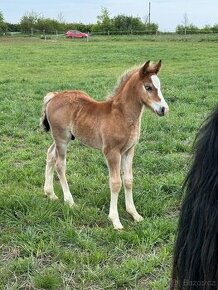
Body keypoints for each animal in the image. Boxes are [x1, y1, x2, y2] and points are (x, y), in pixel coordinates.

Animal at [40, 60, 169, 229]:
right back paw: (70, 201)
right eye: (148, 87)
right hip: (61, 138)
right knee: (60, 164)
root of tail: (54, 96)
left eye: (159, 86)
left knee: (50, 154)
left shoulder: (129, 150)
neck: (122, 115)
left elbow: (128, 180)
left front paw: (135, 214)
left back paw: (50, 194)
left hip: (61, 138)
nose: (164, 109)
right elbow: (115, 183)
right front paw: (115, 220)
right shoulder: (111, 152)